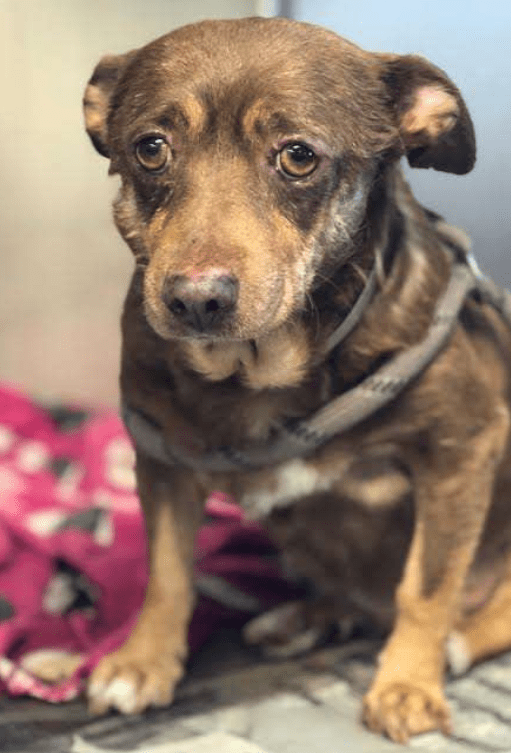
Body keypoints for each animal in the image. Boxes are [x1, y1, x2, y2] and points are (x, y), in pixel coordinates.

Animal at [81, 16, 511, 740]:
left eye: (299, 156)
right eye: (150, 148)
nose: (196, 300)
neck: (260, 368)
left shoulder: (460, 449)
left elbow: (425, 585)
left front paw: (406, 683)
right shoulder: (161, 459)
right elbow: (166, 574)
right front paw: (141, 663)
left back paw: (452, 641)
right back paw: (306, 616)